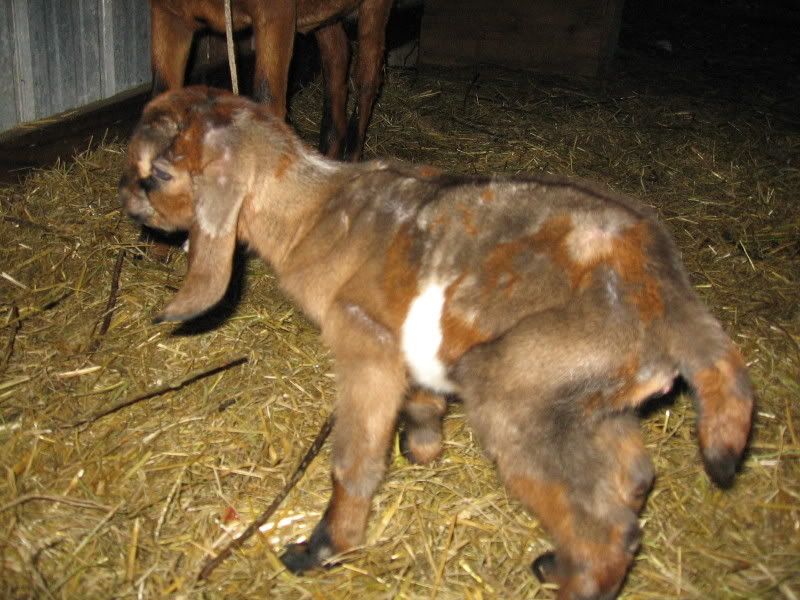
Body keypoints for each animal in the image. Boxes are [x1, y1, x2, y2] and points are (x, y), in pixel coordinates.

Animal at [120, 87, 754, 599]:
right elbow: (422, 396)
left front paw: (324, 548)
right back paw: (557, 561)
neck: (312, 214)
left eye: (158, 174)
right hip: (589, 394)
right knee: (632, 477)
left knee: (603, 531)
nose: (128, 199)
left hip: (523, 385)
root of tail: (666, 291)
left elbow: (355, 457)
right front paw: (422, 447)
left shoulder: (364, 341)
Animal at [149, 0, 394, 161]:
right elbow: (160, 98)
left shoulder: (276, 12)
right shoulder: (168, 12)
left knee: (368, 76)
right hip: (324, 17)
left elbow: (267, 99)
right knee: (338, 57)